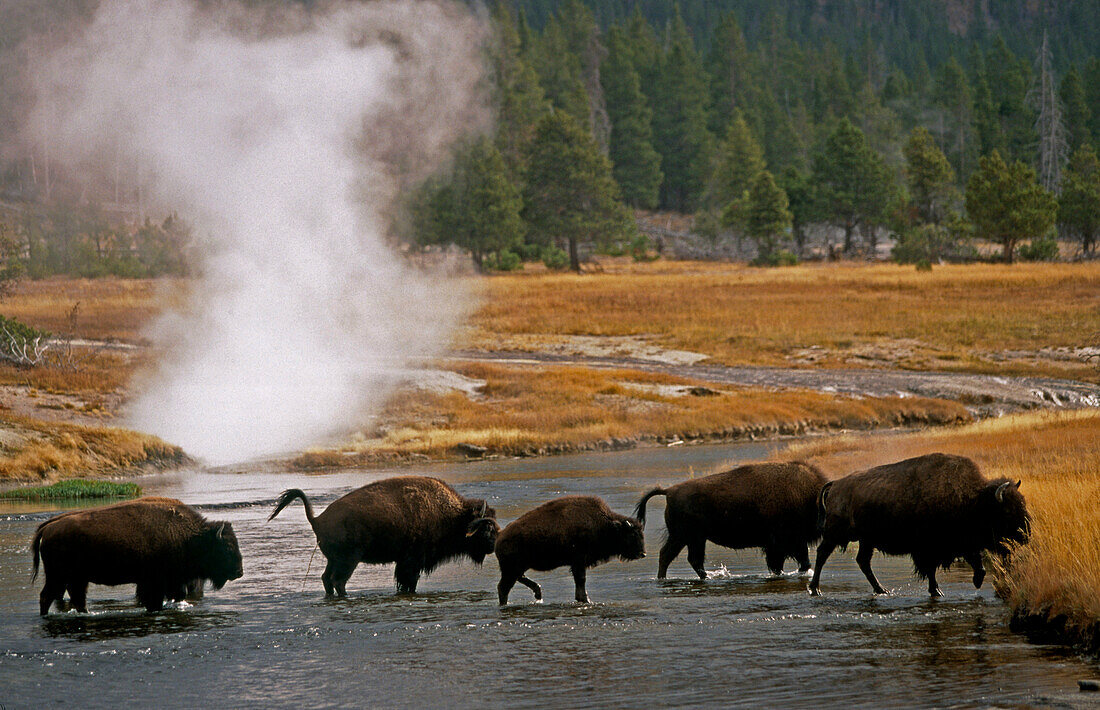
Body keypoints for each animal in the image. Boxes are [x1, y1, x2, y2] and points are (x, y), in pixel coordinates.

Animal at [31, 493, 243, 616]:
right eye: (226, 547)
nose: (239, 572)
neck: (191, 536)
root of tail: (48, 527)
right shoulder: (155, 583)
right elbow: (154, 601)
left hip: (76, 579)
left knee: (76, 598)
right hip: (58, 577)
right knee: (46, 597)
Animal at [269, 473, 499, 594]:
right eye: (487, 528)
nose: (494, 545)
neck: (452, 515)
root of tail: (316, 519)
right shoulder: (411, 562)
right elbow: (409, 582)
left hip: (333, 560)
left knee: (326, 578)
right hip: (349, 560)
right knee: (338, 581)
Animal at [492, 493, 642, 603]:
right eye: (632, 535)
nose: (643, 553)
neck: (605, 524)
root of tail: (500, 535)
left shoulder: (577, 564)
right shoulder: (579, 562)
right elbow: (581, 580)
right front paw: (586, 600)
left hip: (518, 568)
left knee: (517, 580)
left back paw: (538, 593)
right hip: (511, 570)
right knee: (503, 587)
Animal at [633, 462, 827, 576]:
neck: (810, 497)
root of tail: (669, 491)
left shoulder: (792, 543)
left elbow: (798, 561)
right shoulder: (785, 542)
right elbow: (789, 561)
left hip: (685, 538)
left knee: (671, 556)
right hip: (690, 538)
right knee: (685, 558)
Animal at [809, 451, 1029, 594]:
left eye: (1023, 503)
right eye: (1007, 511)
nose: (1026, 535)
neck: (974, 500)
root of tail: (836, 484)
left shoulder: (963, 544)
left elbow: (978, 565)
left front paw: (975, 582)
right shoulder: (928, 549)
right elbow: (931, 570)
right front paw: (937, 591)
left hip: (866, 540)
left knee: (863, 561)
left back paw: (881, 590)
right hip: (835, 534)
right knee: (822, 555)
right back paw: (815, 588)